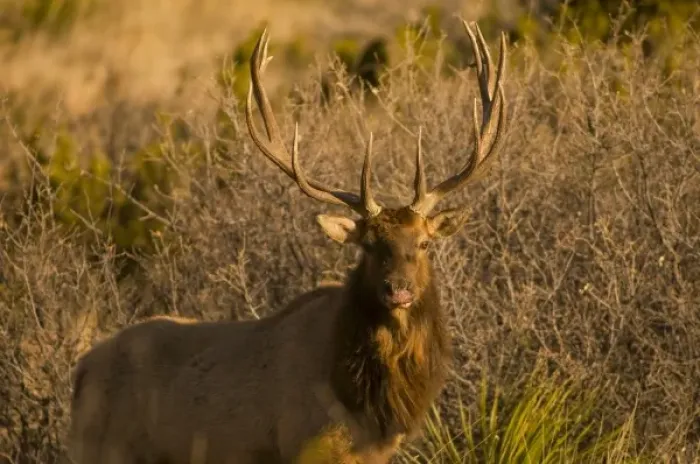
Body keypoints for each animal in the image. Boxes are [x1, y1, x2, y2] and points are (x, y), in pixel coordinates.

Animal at [67, 20, 507, 464]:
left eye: (424, 243)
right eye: (368, 245)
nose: (397, 289)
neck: (362, 407)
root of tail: (81, 374)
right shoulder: (301, 442)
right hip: (104, 450)